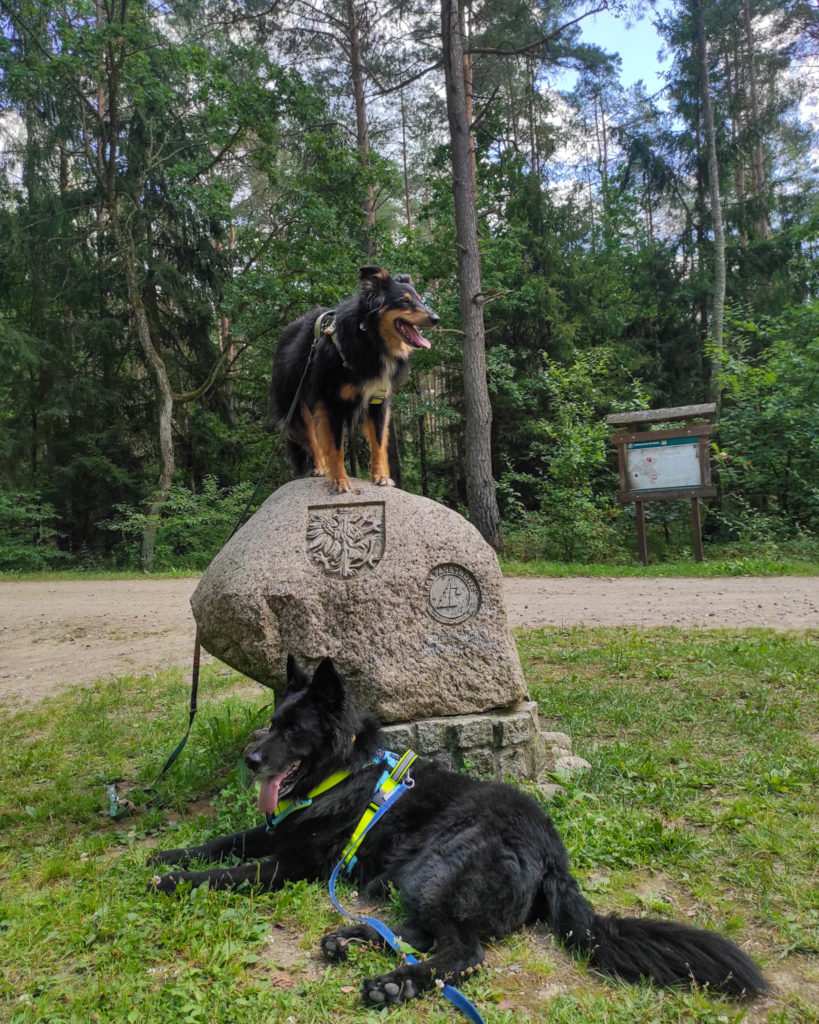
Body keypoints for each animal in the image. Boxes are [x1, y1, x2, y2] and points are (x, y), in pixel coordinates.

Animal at [268, 266, 438, 493]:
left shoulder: (379, 401)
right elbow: (336, 446)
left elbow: (378, 442)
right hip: (296, 403)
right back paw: (320, 467)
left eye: (420, 300)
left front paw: (381, 477)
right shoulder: (331, 402)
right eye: (404, 301)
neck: (369, 338)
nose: (436, 319)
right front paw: (340, 480)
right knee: (311, 438)